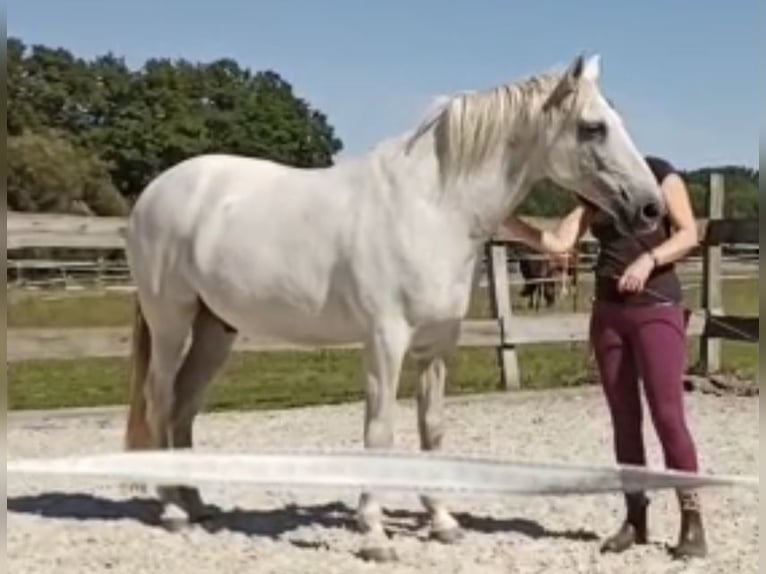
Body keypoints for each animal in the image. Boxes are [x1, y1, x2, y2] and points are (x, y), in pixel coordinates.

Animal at [122, 53, 665, 561]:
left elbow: (433, 429)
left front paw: (443, 522)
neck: (431, 208)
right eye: (592, 127)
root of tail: (154, 193)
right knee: (160, 399)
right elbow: (379, 432)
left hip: (215, 329)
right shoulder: (386, 340)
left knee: (184, 406)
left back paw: (195, 504)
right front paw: (375, 535)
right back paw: (171, 510)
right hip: (171, 322)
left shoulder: (437, 345)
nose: (651, 208)